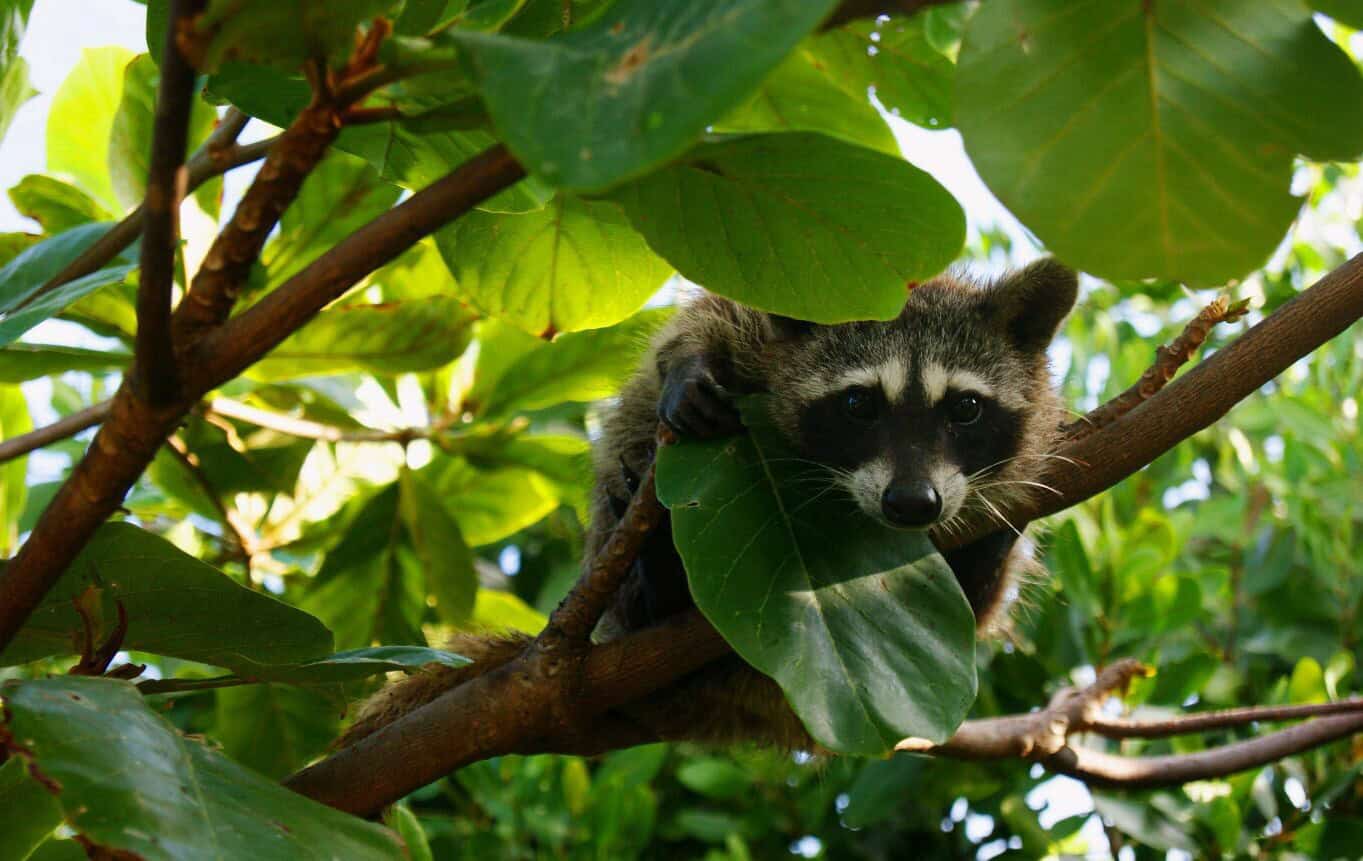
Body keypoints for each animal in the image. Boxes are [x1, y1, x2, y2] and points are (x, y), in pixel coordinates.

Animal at [341, 259, 1079, 750]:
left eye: (964, 408)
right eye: (858, 404)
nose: (911, 503)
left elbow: (984, 604)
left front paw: (997, 534)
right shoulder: (762, 326)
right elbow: (703, 321)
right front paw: (691, 364)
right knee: (631, 436)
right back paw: (657, 574)